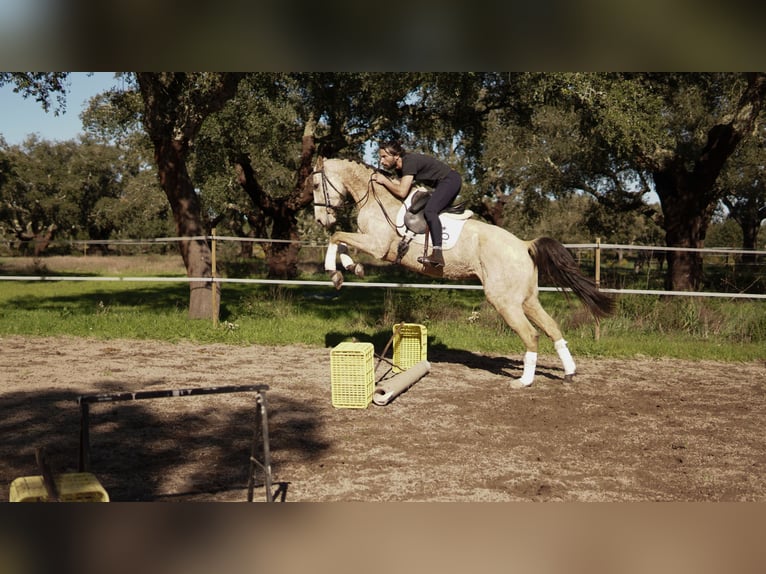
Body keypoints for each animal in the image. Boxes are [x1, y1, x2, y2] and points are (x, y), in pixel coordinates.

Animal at [307, 157, 614, 388]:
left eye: (315, 184)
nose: (321, 219)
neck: (376, 198)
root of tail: (524, 244)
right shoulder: (370, 242)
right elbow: (341, 240)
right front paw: (350, 267)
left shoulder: (378, 245)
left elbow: (336, 237)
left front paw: (335, 272)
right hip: (527, 300)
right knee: (551, 328)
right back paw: (569, 372)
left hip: (504, 301)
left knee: (531, 335)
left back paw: (523, 382)